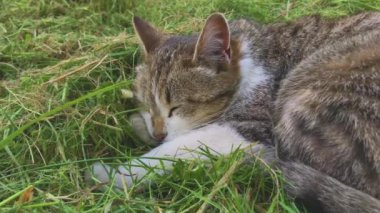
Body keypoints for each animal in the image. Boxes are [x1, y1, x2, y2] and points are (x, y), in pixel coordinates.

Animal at [90, 12, 380, 212]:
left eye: (177, 107)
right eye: (147, 104)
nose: (158, 133)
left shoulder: (252, 126)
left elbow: (178, 148)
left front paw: (115, 175)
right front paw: (142, 126)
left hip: (304, 96)